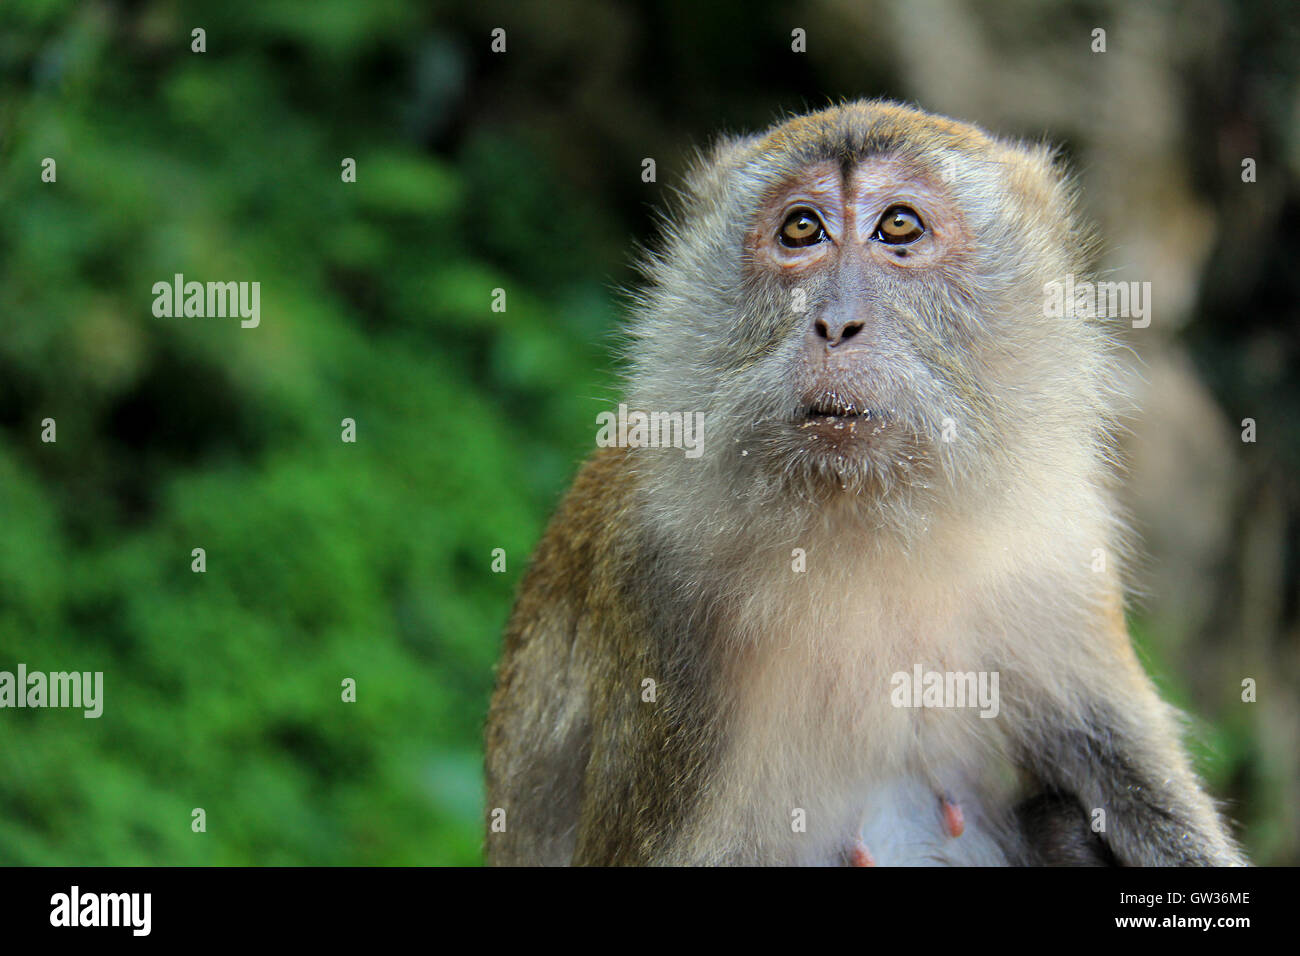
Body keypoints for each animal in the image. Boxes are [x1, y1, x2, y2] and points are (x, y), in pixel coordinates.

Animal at [483, 100, 1247, 867]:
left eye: (899, 226)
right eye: (801, 229)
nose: (836, 322)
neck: (872, 522)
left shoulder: (1053, 546)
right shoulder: (659, 592)